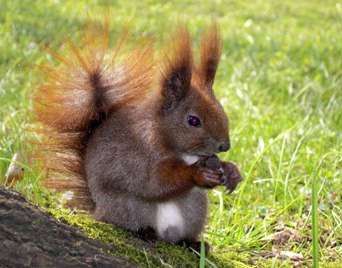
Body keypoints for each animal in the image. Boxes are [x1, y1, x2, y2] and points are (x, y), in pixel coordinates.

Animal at [33, 18, 243, 248]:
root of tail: (99, 209)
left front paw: (230, 170)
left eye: (222, 110)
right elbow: (155, 181)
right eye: (193, 120)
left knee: (182, 234)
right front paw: (197, 174)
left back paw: (192, 243)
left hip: (194, 207)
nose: (225, 145)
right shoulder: (136, 156)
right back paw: (146, 232)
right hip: (128, 206)